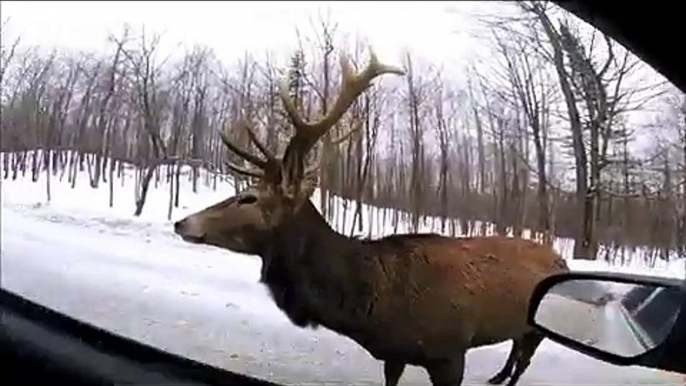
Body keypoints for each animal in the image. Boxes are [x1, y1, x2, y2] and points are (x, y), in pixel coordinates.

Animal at [175, 49, 572, 386]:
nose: (182, 222)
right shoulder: (394, 354)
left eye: (249, 198)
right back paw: (495, 376)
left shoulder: (450, 353)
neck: (373, 303)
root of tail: (562, 260)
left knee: (523, 360)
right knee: (514, 350)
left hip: (539, 328)